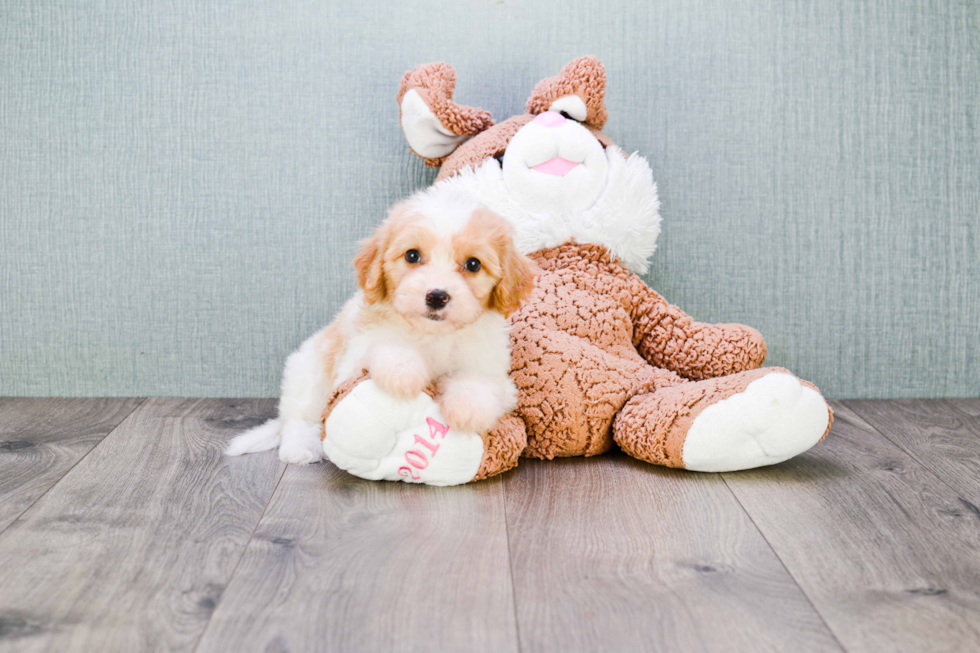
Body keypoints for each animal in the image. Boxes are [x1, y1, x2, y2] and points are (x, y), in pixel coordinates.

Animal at [224, 186, 536, 466]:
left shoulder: (494, 371)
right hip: (308, 374)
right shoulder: (354, 358)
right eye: (412, 255)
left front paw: (467, 409)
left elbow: (480, 383)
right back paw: (301, 447)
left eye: (473, 264)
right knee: (299, 418)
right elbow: (386, 346)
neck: (433, 336)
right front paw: (404, 373)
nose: (436, 296)